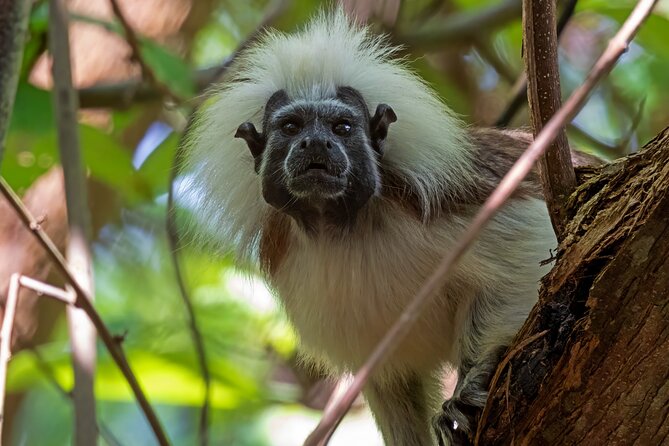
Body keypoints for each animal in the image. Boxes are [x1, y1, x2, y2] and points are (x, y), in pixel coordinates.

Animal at [176, 10, 583, 445]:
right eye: (291, 127)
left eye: (341, 127)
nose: (315, 144)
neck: (341, 227)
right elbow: (391, 378)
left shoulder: (438, 198)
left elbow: (529, 235)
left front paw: (473, 380)